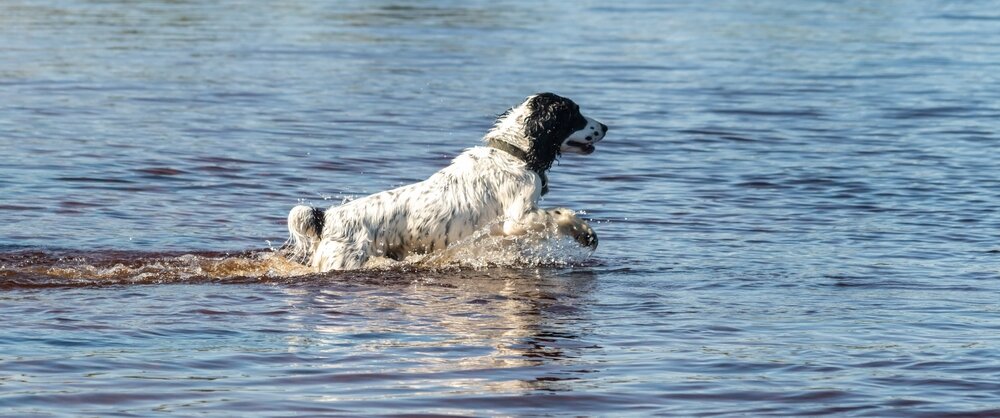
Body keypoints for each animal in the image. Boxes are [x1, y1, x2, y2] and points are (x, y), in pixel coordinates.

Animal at [284, 92, 608, 272]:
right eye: (576, 114)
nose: (605, 126)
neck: (512, 153)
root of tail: (327, 217)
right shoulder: (518, 217)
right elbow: (560, 215)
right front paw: (586, 234)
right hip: (344, 259)